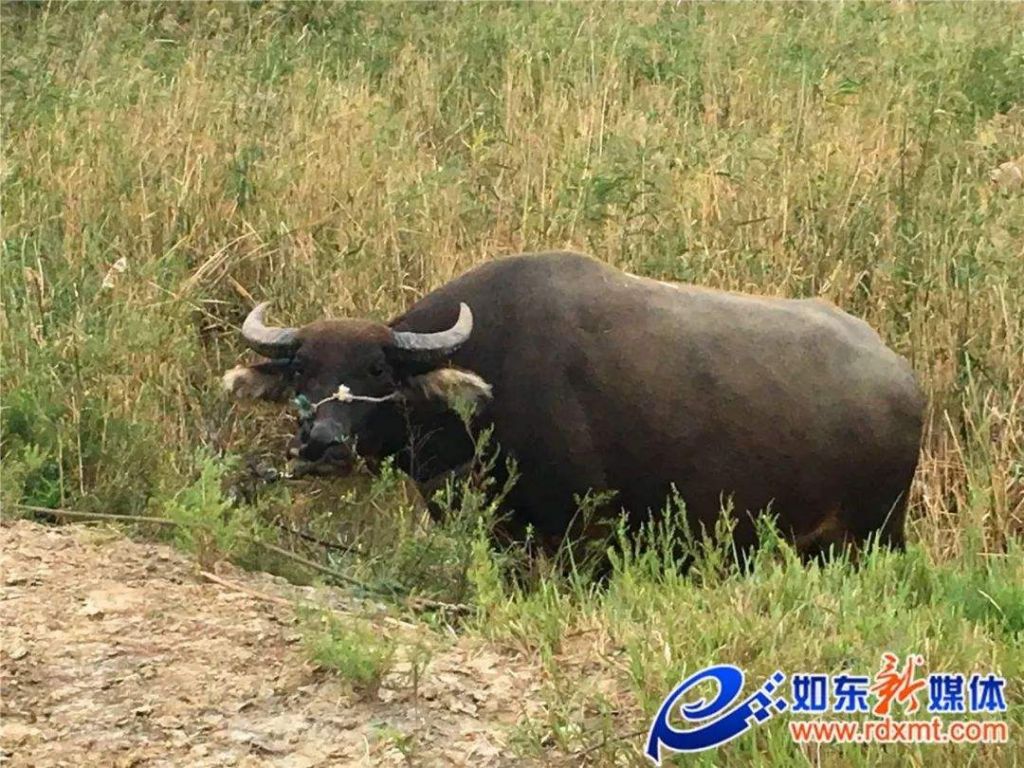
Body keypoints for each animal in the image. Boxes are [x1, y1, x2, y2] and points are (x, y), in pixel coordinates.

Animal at [226, 252, 929, 561]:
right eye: (301, 367)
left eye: (375, 369)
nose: (322, 442)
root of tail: (903, 377)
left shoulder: (578, 532)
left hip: (875, 535)